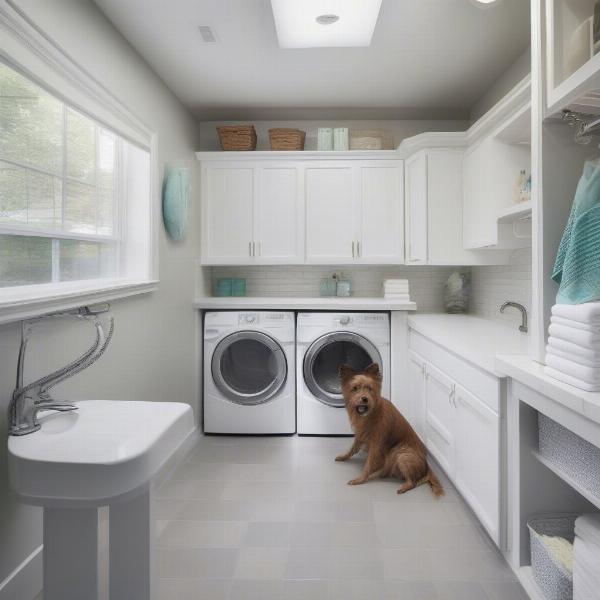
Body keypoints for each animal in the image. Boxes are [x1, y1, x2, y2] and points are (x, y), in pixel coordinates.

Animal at [336, 360, 442, 496]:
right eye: (355, 388)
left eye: (369, 388)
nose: (364, 399)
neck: (371, 413)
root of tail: (426, 467)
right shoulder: (360, 435)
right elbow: (352, 449)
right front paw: (344, 457)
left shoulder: (376, 444)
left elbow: (368, 464)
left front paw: (360, 479)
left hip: (401, 454)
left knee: (413, 482)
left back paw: (402, 486)